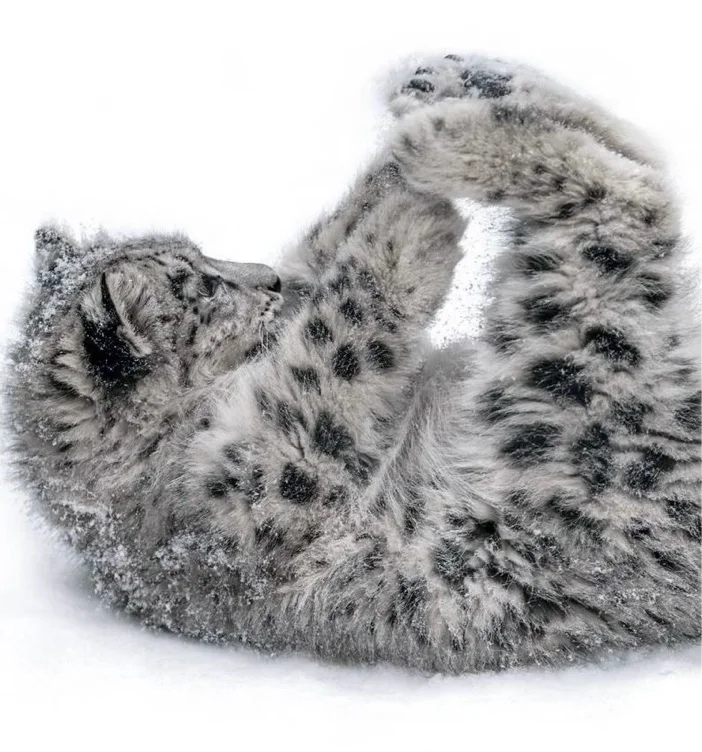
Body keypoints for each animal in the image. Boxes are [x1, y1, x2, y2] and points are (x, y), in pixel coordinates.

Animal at [5, 54, 700, 674]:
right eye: (203, 286)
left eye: (206, 255)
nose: (267, 278)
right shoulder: (267, 480)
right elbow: (335, 336)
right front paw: (411, 225)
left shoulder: (298, 300)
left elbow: (323, 254)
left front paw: (384, 183)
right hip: (581, 380)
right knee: (629, 200)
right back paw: (433, 137)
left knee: (636, 165)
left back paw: (445, 83)